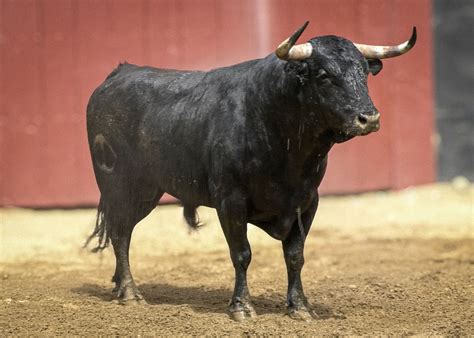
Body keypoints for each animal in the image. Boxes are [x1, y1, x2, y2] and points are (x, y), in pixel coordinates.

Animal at [86, 22, 418, 320]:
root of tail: (119, 73)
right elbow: (242, 253)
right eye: (324, 75)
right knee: (121, 233)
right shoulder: (230, 201)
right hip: (123, 186)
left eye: (364, 72)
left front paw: (300, 307)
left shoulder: (307, 201)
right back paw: (129, 293)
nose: (369, 118)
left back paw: (118, 286)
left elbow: (295, 255)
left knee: (121, 231)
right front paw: (242, 307)